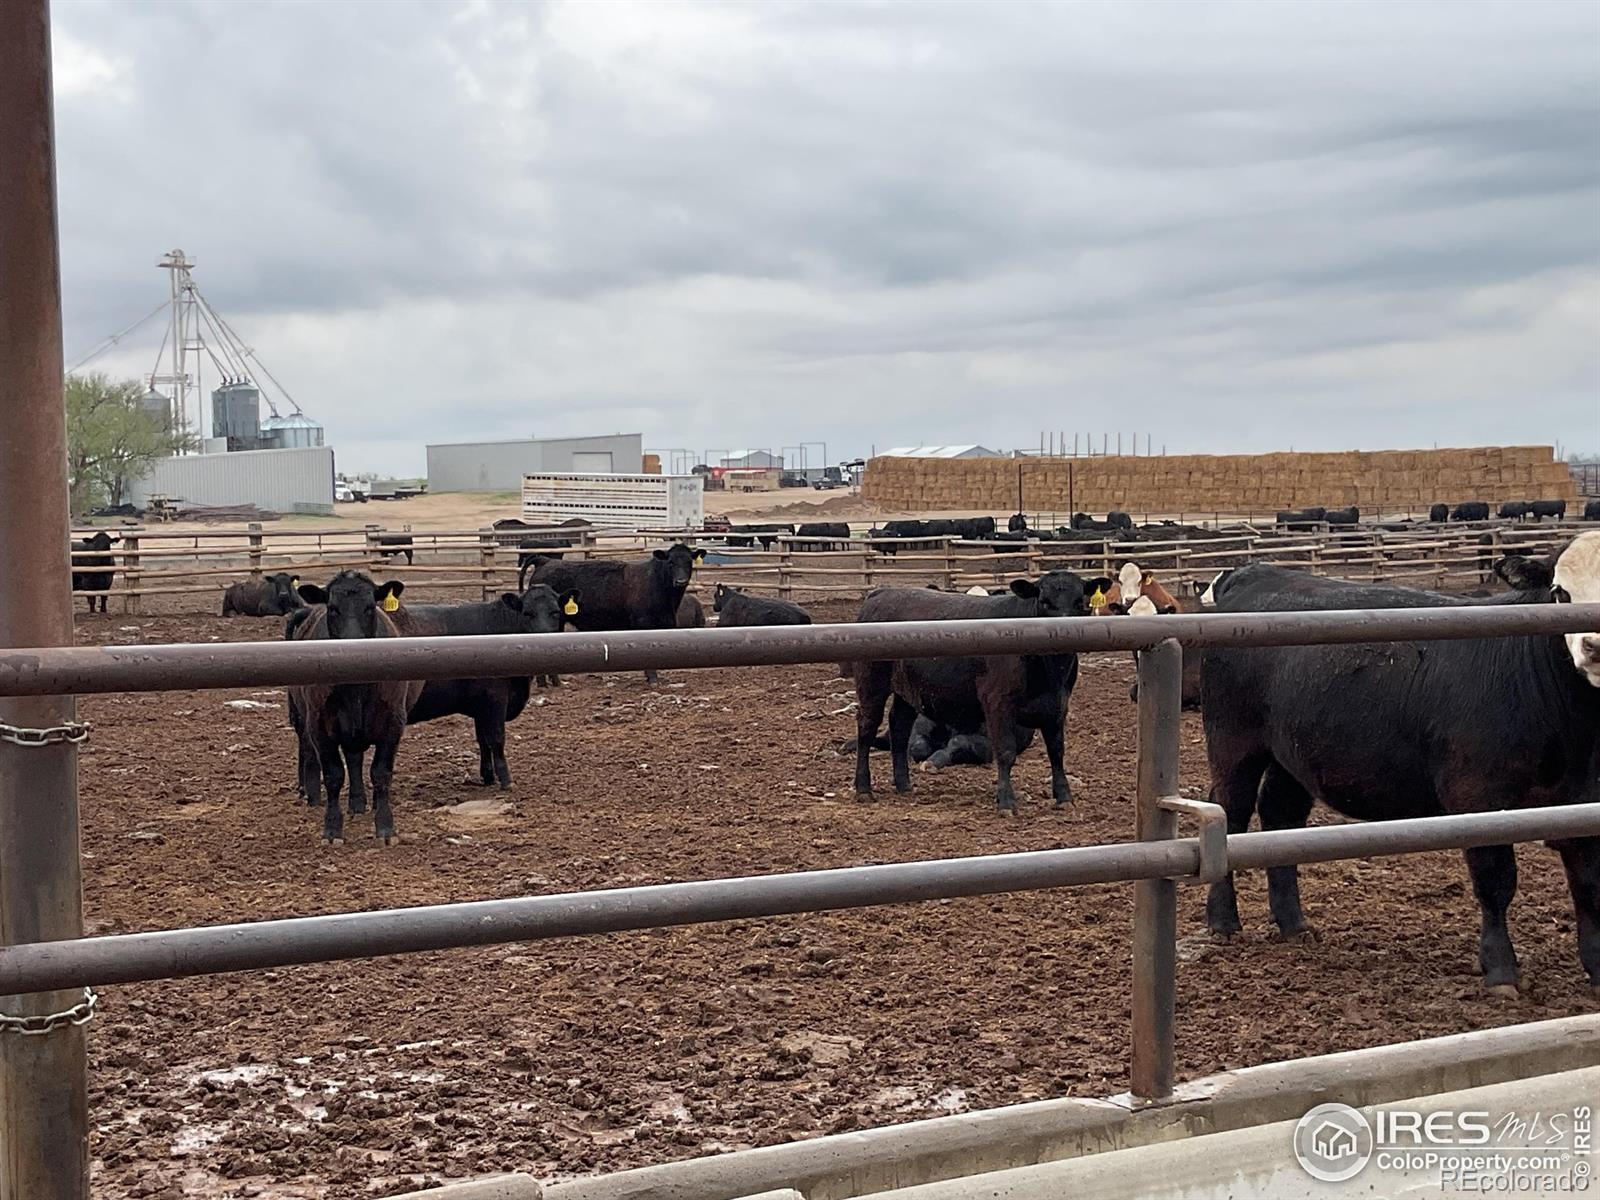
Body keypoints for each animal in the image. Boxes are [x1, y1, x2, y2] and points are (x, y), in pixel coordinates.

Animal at [289, 572, 423, 844]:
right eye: (332, 608)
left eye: (370, 607)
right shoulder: (319, 725)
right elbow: (333, 775)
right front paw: (332, 829)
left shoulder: (394, 721)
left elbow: (381, 773)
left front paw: (385, 827)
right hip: (302, 717)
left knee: (355, 758)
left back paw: (360, 803)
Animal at [526, 543, 705, 683]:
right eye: (670, 562)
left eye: (689, 561)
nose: (681, 581)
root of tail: (546, 561)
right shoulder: (644, 623)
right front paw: (652, 678)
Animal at [852, 572, 1099, 812]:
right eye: (1045, 602)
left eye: (1080, 602)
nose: (1065, 631)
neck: (1049, 673)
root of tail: (882, 593)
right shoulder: (997, 703)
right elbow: (1005, 752)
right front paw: (1006, 801)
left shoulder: (1057, 706)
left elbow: (1056, 751)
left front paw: (1064, 797)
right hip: (871, 684)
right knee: (867, 728)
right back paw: (863, 788)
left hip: (908, 692)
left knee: (900, 728)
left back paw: (903, 785)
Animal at [1198, 541, 1600, 995]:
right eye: (1560, 592)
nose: (1594, 647)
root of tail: (1257, 573)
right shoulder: (1477, 798)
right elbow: (1496, 881)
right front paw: (1501, 970)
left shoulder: (1583, 799)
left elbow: (1587, 883)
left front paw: (1596, 968)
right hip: (1235, 744)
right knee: (1232, 814)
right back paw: (1223, 921)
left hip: (1294, 753)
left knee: (1281, 817)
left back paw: (1293, 922)